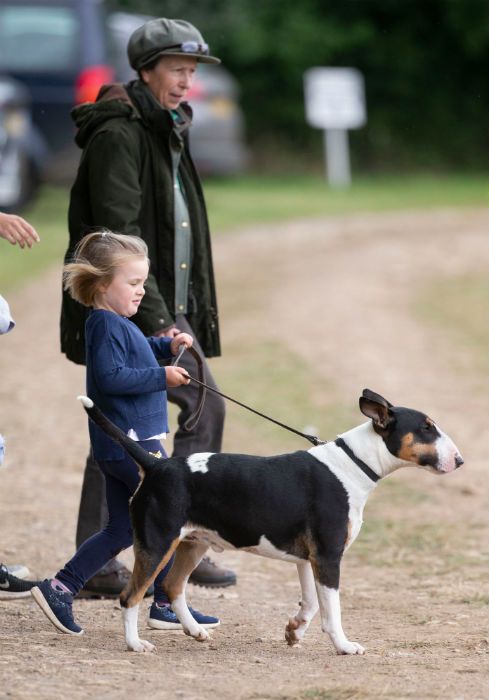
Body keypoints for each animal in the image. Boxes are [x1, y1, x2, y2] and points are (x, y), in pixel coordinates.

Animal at [76, 392, 462, 652]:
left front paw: (294, 631)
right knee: (130, 596)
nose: (459, 460)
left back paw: (195, 631)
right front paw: (344, 645)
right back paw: (135, 644)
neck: (353, 464)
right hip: (158, 542)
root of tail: (156, 464)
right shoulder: (328, 556)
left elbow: (310, 603)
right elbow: (332, 609)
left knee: (173, 587)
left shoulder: (308, 558)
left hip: (193, 543)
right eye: (427, 428)